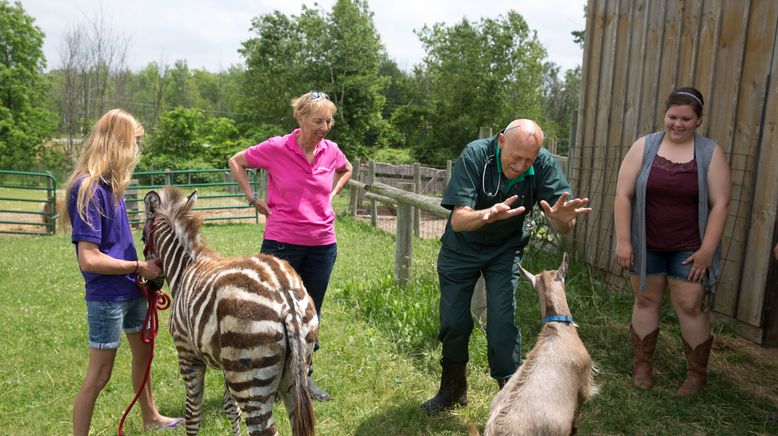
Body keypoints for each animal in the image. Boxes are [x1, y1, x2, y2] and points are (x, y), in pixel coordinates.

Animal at [142, 188, 316, 436]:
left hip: (249, 378)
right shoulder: (227, 364)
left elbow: (192, 412)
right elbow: (230, 408)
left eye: (142, 238)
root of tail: (284, 292)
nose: (149, 287)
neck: (186, 268)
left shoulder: (187, 353)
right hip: (293, 371)